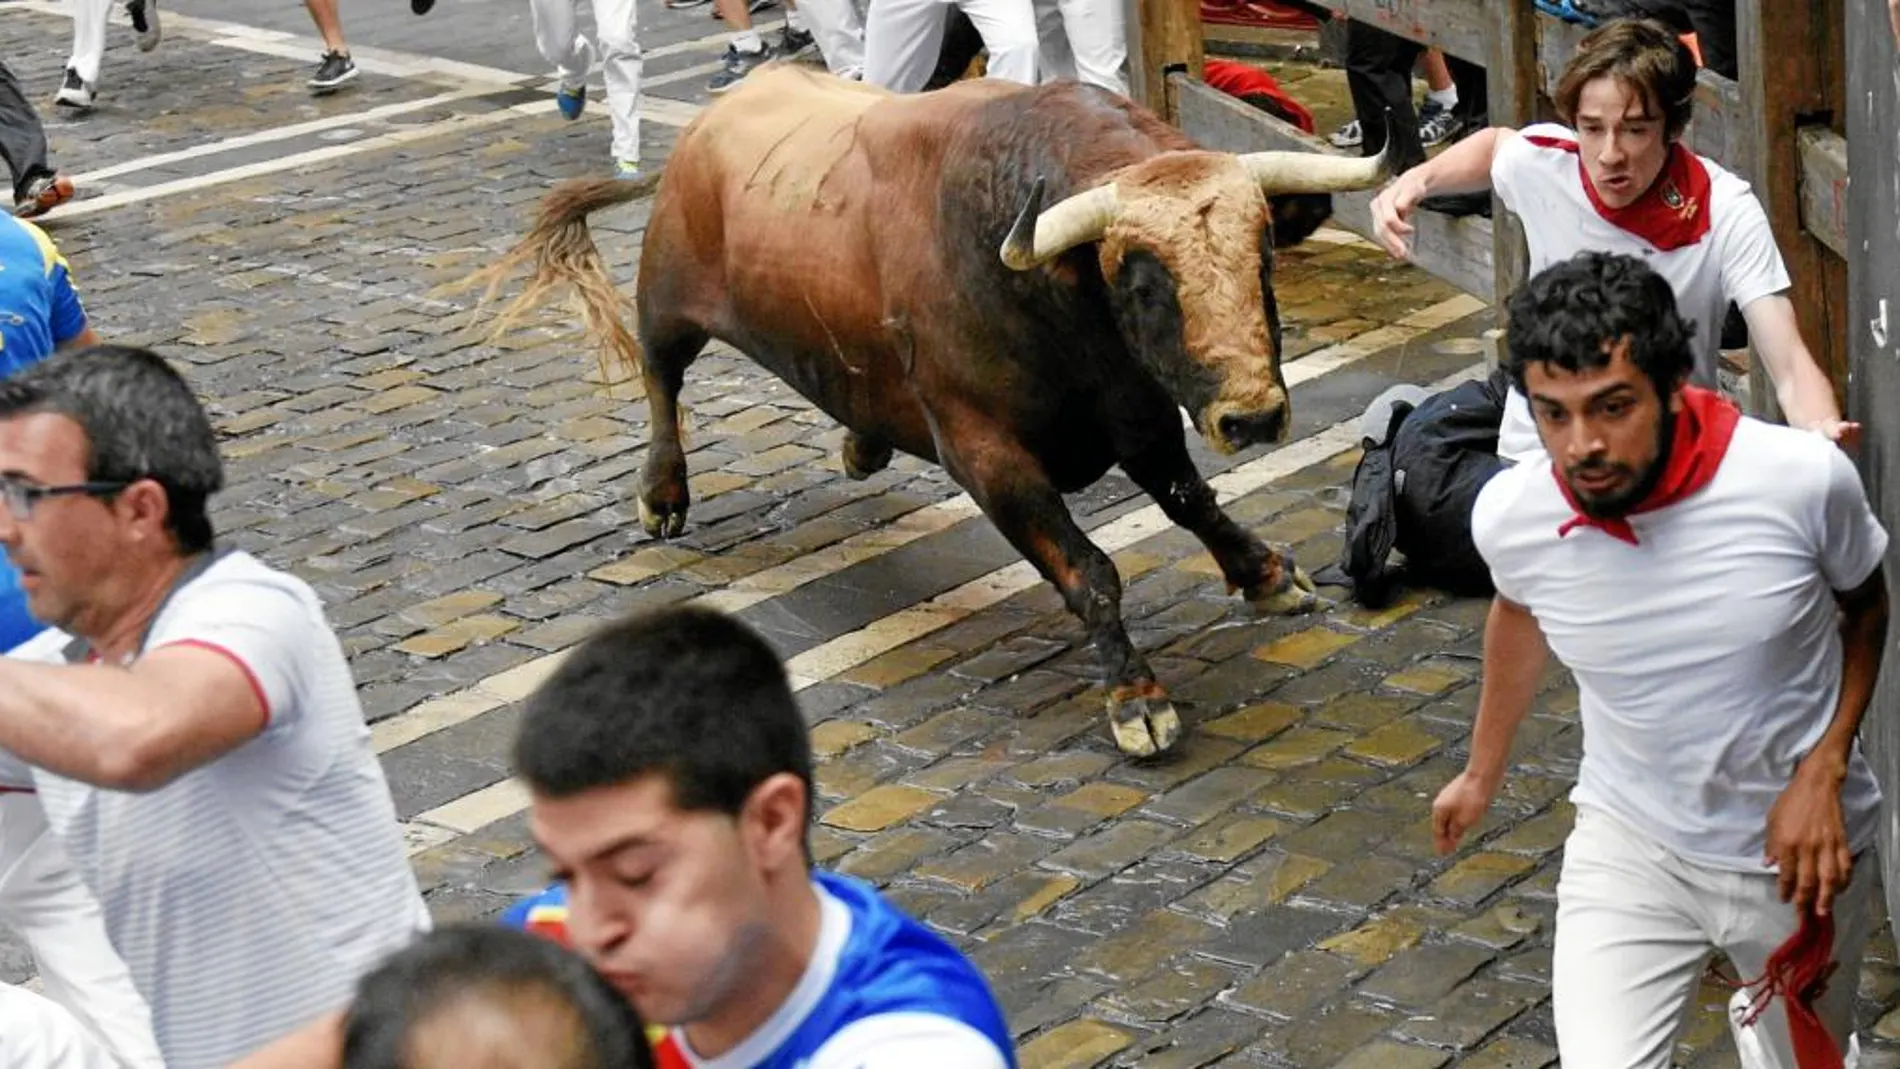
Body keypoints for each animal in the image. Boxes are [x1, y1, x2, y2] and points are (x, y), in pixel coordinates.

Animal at [482, 62, 1390, 755]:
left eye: (1262, 254)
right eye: (1140, 282)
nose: (1252, 415)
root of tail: (711, 121)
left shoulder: (1137, 408)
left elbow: (1190, 499)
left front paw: (1265, 573)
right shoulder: (984, 452)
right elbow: (1089, 569)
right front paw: (1136, 696)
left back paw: (862, 443)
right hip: (666, 304)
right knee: (661, 383)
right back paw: (664, 492)